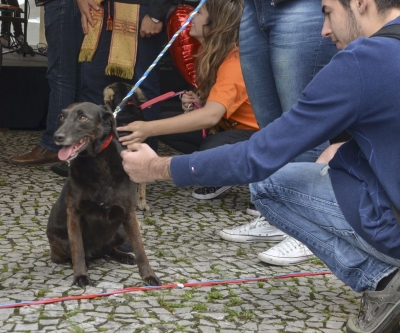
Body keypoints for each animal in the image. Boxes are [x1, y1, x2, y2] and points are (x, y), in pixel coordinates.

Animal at [47, 94, 159, 286]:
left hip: (120, 231)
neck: (96, 162)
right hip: (61, 241)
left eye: (82, 118)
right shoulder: (74, 213)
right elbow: (78, 250)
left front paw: (148, 275)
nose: (57, 136)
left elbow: (139, 248)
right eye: (61, 117)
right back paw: (88, 262)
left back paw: (123, 256)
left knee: (109, 250)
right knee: (73, 254)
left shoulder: (129, 213)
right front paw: (81, 276)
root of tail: (96, 251)